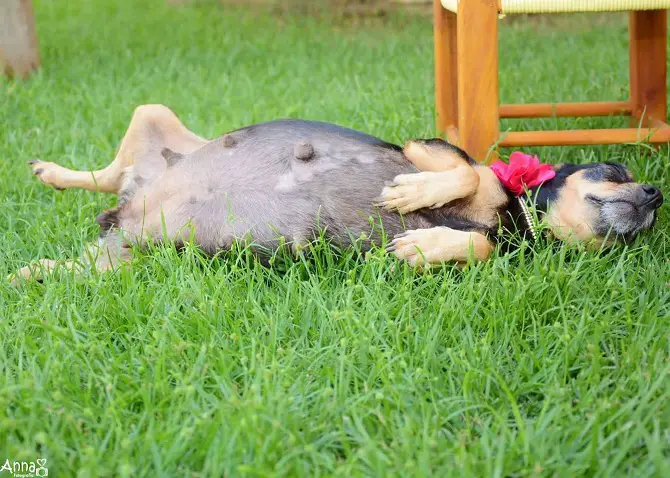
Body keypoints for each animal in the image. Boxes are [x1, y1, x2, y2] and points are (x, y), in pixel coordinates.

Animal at [13, 103, 664, 282]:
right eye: (613, 166)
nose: (657, 196)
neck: (516, 218)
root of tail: (130, 210)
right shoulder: (428, 145)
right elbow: (467, 172)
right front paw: (412, 197)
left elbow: (475, 247)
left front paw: (423, 248)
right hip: (154, 118)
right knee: (107, 173)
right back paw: (50, 173)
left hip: (120, 261)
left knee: (76, 251)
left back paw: (28, 272)